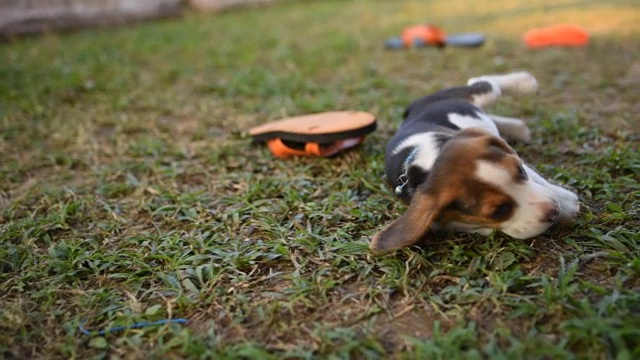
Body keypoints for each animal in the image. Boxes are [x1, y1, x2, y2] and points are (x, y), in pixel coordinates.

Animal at [370, 71, 580, 253]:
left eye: (520, 171)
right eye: (500, 211)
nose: (553, 210)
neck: (429, 163)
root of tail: (412, 107)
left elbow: (539, 179)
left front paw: (566, 202)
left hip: (481, 95)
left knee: (482, 82)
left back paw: (524, 82)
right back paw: (517, 128)